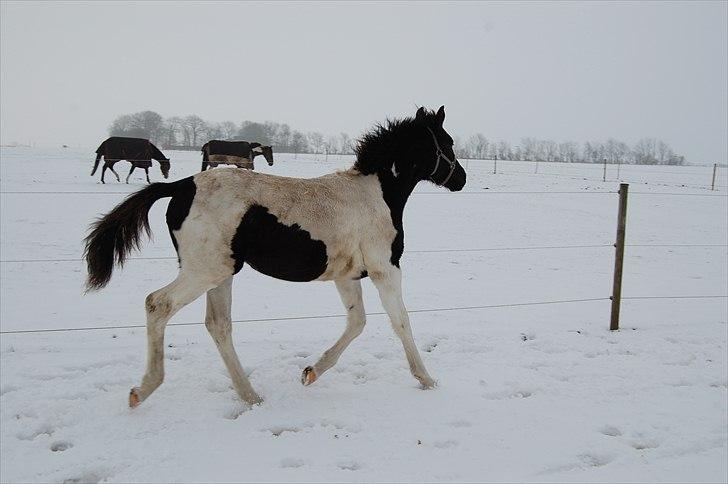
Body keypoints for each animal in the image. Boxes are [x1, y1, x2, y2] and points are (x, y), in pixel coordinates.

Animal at [84, 107, 466, 408]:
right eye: (446, 143)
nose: (461, 179)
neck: (375, 194)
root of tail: (182, 186)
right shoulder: (385, 269)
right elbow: (401, 322)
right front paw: (427, 379)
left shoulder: (347, 275)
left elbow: (357, 322)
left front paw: (311, 372)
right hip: (204, 271)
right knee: (158, 303)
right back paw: (143, 390)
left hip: (220, 273)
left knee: (218, 325)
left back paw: (250, 395)